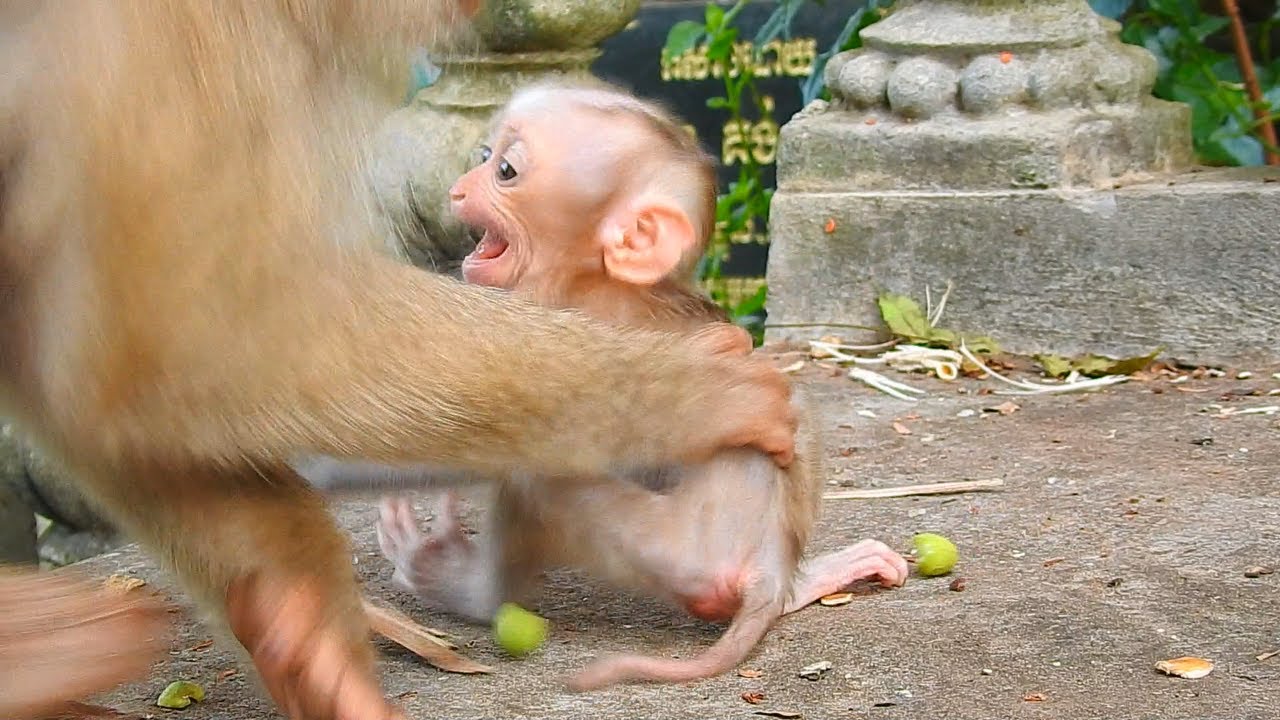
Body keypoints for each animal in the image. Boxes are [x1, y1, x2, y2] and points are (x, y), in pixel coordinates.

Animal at [0, 4, 800, 719]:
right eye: (482, 158)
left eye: (507, 170)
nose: (459, 187)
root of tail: (766, 571)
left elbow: (175, 353)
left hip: (678, 547)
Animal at [310, 79, 910, 692]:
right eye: (482, 156)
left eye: (505, 170)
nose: (456, 189)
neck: (591, 281)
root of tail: (767, 570)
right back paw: (809, 582)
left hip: (676, 548)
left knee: (538, 479)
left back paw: (463, 585)